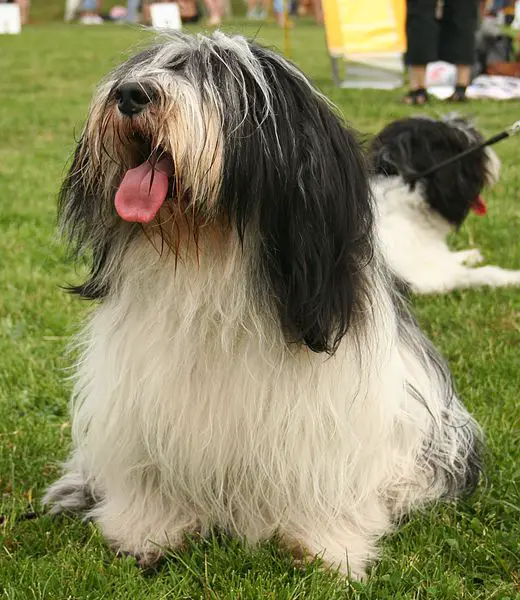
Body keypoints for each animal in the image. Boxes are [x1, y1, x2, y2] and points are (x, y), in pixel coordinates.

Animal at [370, 115, 520, 292]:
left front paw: (468, 255)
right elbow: (478, 273)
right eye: (471, 150)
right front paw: (513, 277)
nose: (496, 161)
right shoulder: (425, 278)